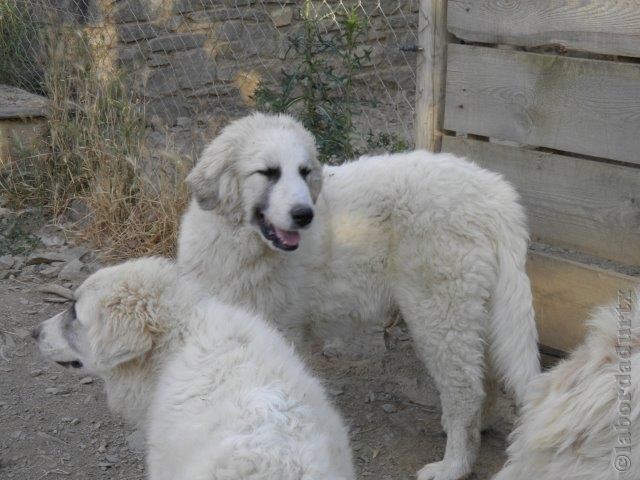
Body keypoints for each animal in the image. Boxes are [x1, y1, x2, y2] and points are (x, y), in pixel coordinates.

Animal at [178, 113, 544, 480]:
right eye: (268, 173)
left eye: (304, 171)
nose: (305, 215)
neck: (242, 244)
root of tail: (494, 193)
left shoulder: (281, 332)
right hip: (474, 310)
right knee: (486, 376)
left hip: (439, 314)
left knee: (465, 392)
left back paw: (453, 465)